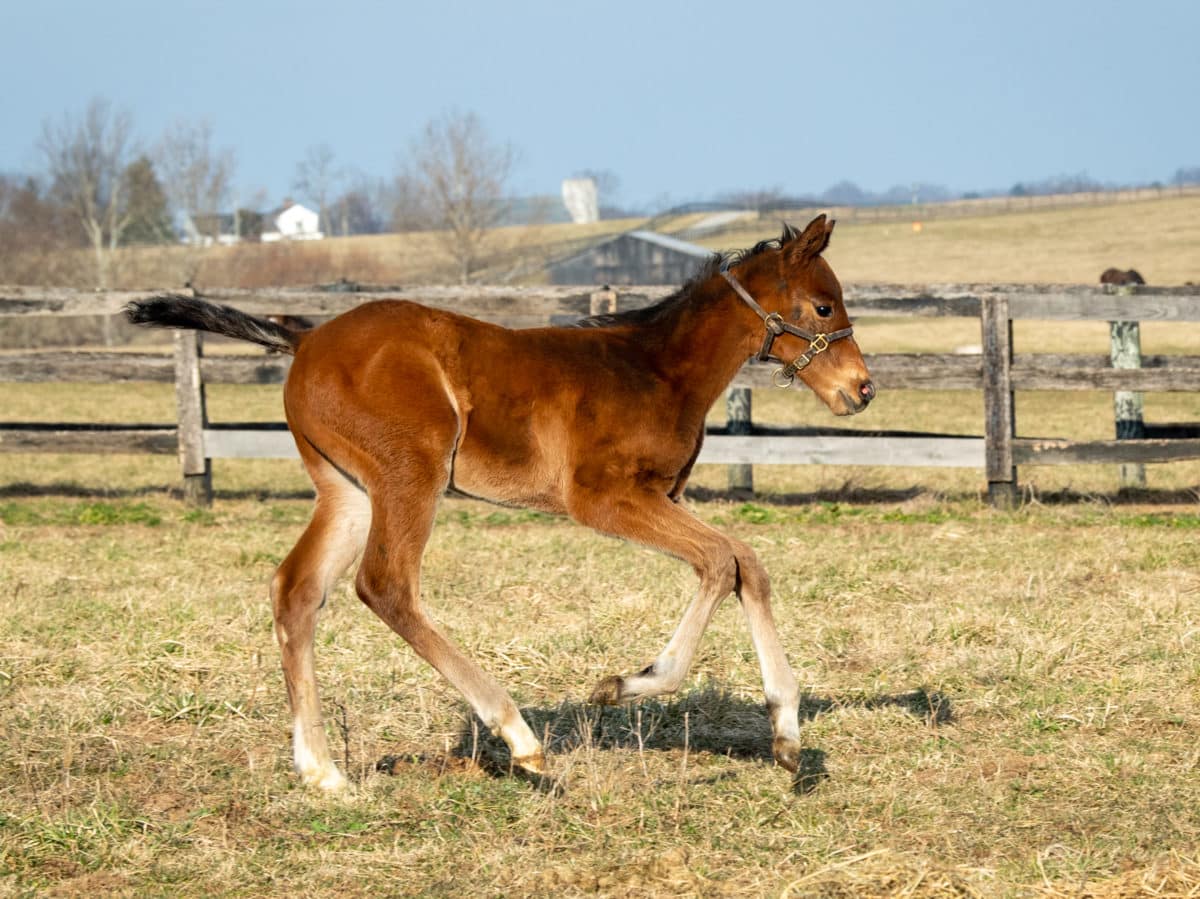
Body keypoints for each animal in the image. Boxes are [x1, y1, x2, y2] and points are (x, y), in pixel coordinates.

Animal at [129, 213, 873, 787]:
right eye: (824, 306)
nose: (862, 389)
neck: (655, 369)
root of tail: (305, 337)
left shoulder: (662, 495)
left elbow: (749, 563)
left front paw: (787, 734)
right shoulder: (604, 497)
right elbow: (721, 563)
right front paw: (625, 684)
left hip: (348, 489)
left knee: (297, 590)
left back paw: (324, 773)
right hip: (409, 475)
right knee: (385, 584)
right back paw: (518, 736)